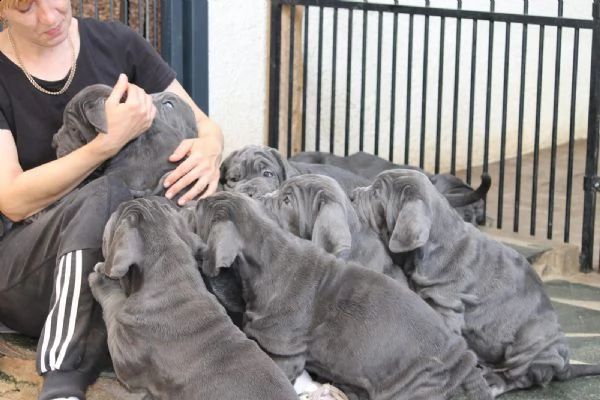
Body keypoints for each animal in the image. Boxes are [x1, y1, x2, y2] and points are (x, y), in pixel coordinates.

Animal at [352, 167, 600, 396]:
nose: (353, 195)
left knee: (520, 376)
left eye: (376, 193)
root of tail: (565, 366)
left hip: (531, 338)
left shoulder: (447, 305)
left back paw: (493, 381)